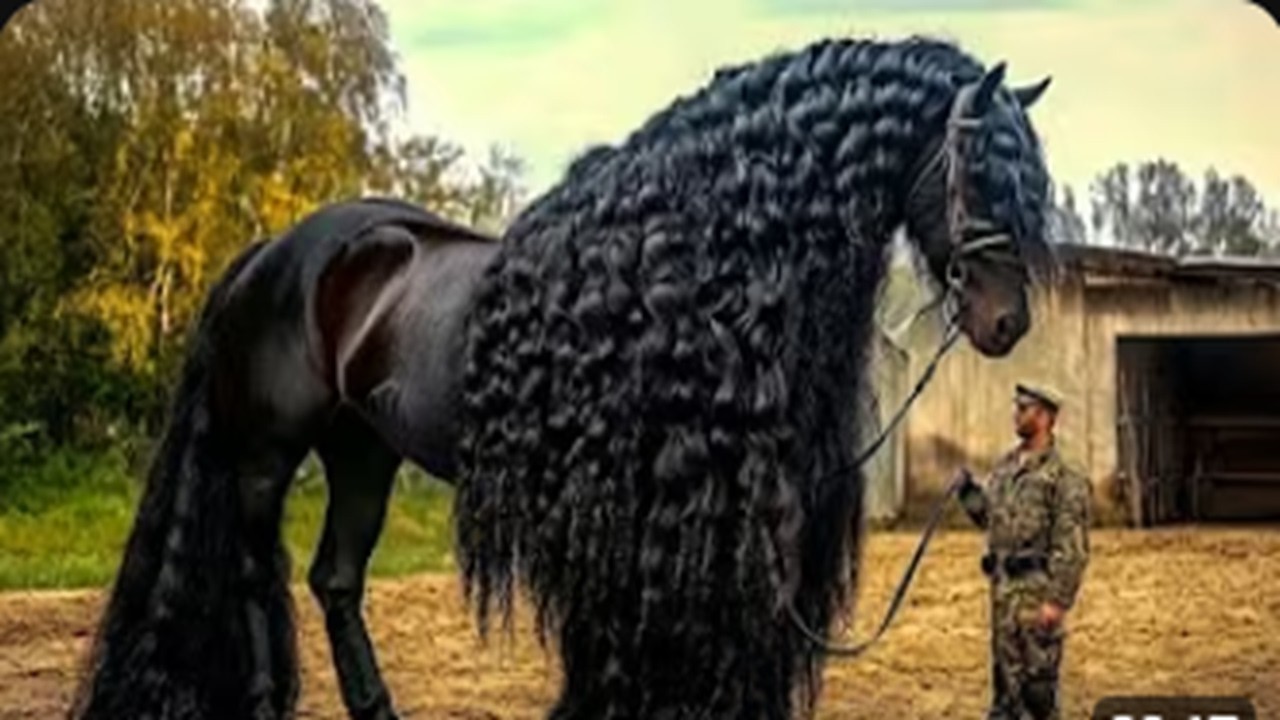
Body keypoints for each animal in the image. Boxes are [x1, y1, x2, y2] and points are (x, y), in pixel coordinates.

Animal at [70, 35, 1056, 720]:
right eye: (979, 167)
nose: (1008, 322)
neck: (693, 261)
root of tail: (276, 250)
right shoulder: (641, 520)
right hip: (264, 458)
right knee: (251, 574)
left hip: (362, 455)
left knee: (335, 581)